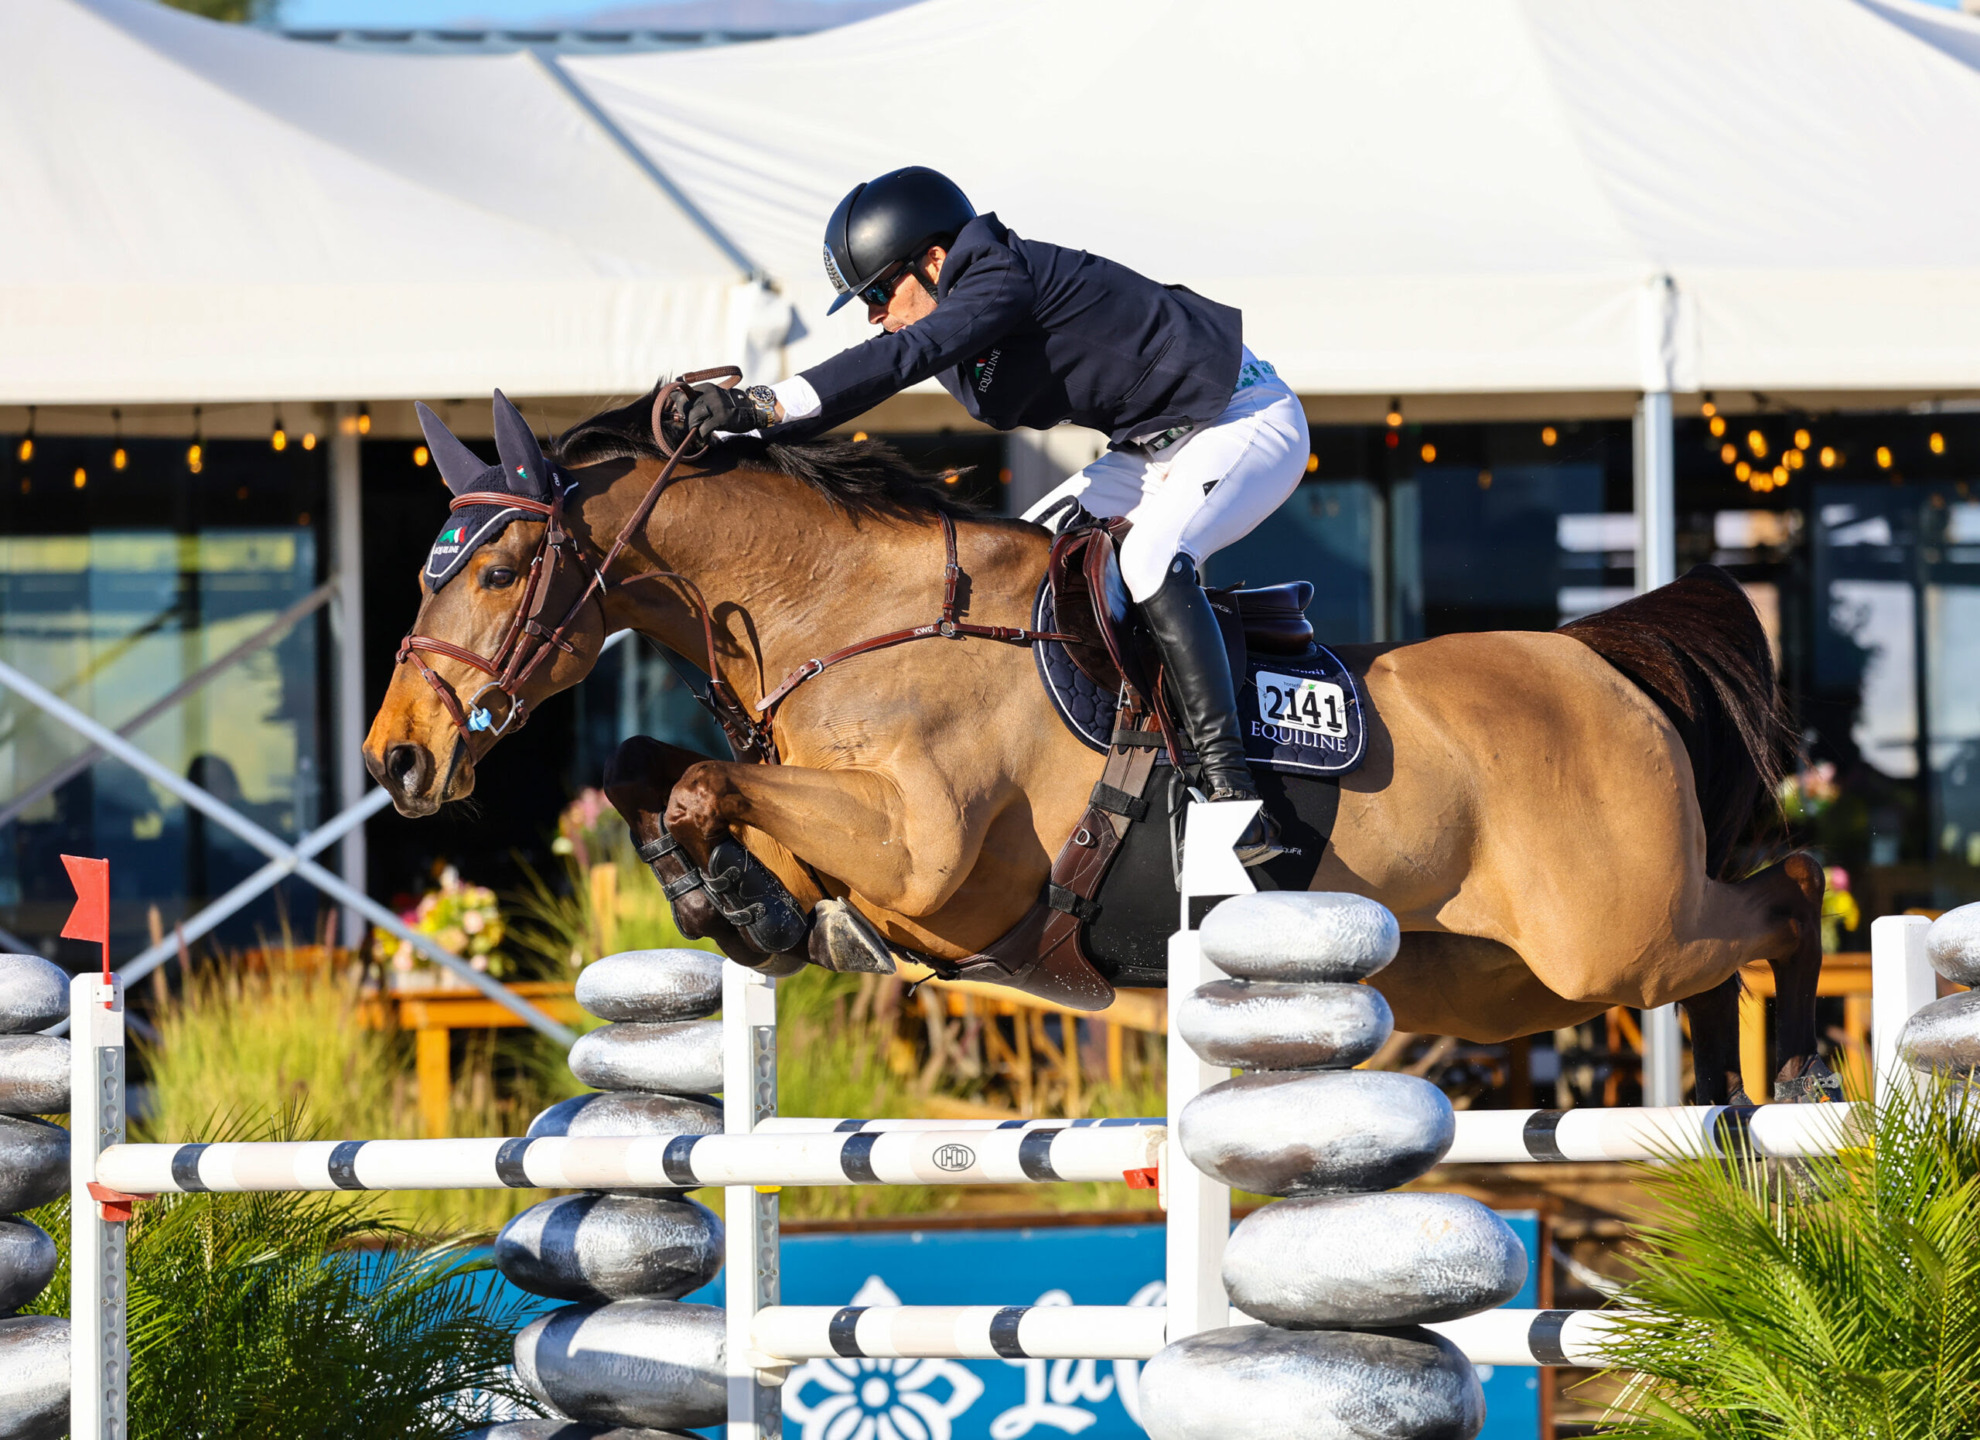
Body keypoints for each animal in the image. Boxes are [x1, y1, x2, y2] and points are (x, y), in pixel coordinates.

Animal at [364, 382, 1829, 1101]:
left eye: (497, 572)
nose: (396, 761)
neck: (854, 616)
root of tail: (1604, 659)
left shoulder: (928, 858)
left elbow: (702, 784)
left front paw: (738, 902)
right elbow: (661, 780)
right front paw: (743, 912)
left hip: (1614, 938)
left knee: (1790, 891)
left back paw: (1801, 1069)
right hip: (1492, 983)